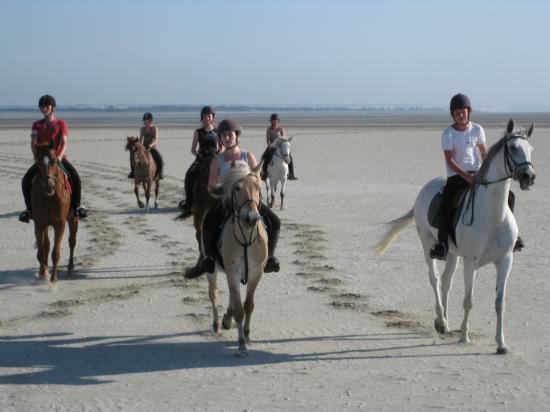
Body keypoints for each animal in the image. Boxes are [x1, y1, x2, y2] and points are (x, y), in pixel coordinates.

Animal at [31, 143, 78, 282]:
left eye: (54, 161)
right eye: (38, 161)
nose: (48, 186)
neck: (49, 198)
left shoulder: (59, 224)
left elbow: (55, 253)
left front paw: (54, 278)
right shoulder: (39, 224)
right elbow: (41, 251)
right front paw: (43, 273)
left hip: (73, 218)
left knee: (72, 241)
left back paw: (70, 267)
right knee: (46, 245)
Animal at [206, 159, 268, 356]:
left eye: (258, 187)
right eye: (237, 188)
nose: (251, 218)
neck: (246, 237)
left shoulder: (256, 272)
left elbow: (248, 305)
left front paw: (247, 335)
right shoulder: (232, 271)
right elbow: (240, 309)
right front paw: (240, 344)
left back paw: (227, 319)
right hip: (212, 269)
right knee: (214, 294)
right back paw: (218, 324)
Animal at [378, 119, 536, 354]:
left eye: (530, 149)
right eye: (513, 147)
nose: (529, 177)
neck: (492, 215)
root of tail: (427, 187)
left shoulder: (505, 260)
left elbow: (500, 302)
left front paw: (501, 343)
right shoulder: (470, 262)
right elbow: (469, 300)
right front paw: (464, 336)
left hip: (452, 253)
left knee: (446, 281)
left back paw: (445, 321)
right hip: (428, 244)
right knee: (435, 279)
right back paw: (442, 321)